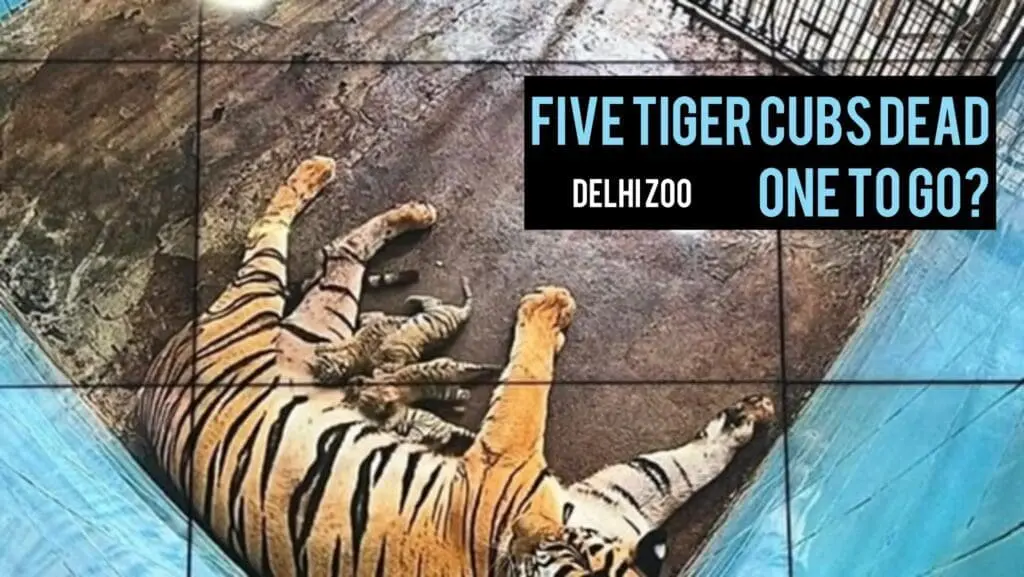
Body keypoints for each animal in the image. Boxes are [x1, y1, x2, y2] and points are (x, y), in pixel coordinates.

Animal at [136, 155, 776, 577]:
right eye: (551, 553)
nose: (518, 529)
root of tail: (148, 384)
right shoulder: (511, 460)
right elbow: (530, 383)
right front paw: (548, 306)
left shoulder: (605, 501)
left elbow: (677, 470)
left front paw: (746, 418)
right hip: (278, 305)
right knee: (277, 234)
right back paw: (326, 174)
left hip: (320, 325)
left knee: (340, 254)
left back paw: (406, 210)